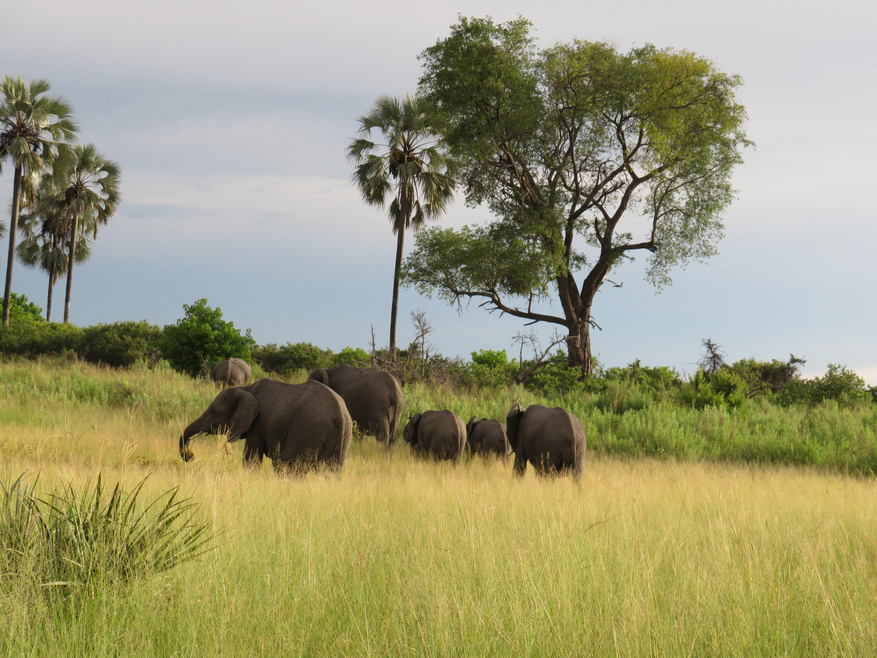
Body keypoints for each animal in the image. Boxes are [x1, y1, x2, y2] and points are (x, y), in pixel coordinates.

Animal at [178, 374, 352, 472]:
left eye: (214, 412)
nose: (191, 456)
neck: (245, 388)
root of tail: (340, 416)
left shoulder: (258, 423)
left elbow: (252, 459)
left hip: (307, 431)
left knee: (286, 466)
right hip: (343, 438)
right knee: (331, 471)